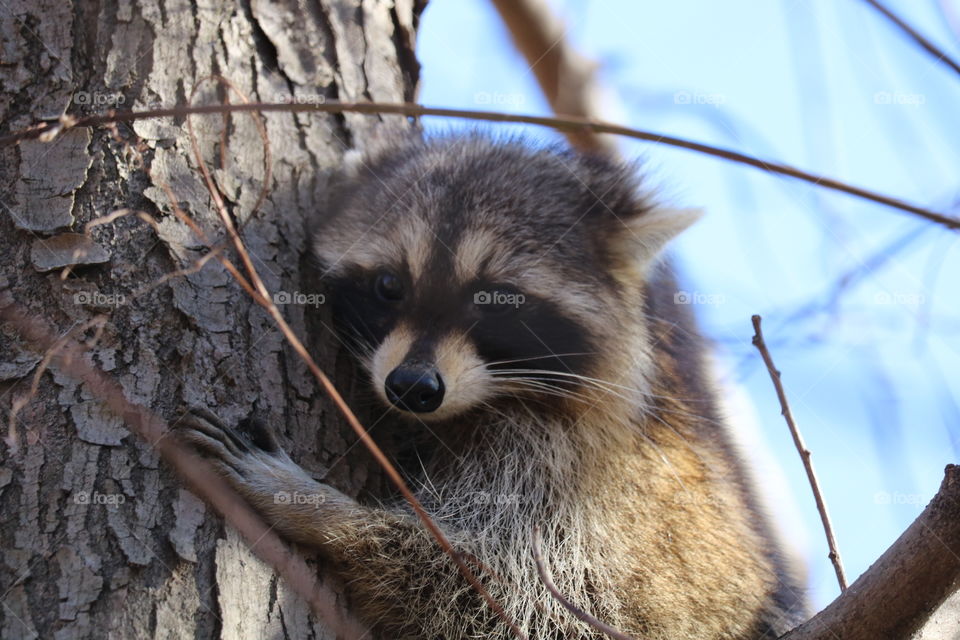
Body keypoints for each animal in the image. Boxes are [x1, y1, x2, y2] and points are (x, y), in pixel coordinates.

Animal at [176, 132, 808, 636]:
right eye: (389, 285)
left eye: (495, 300)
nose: (412, 387)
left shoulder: (567, 470)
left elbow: (510, 593)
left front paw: (323, 513)